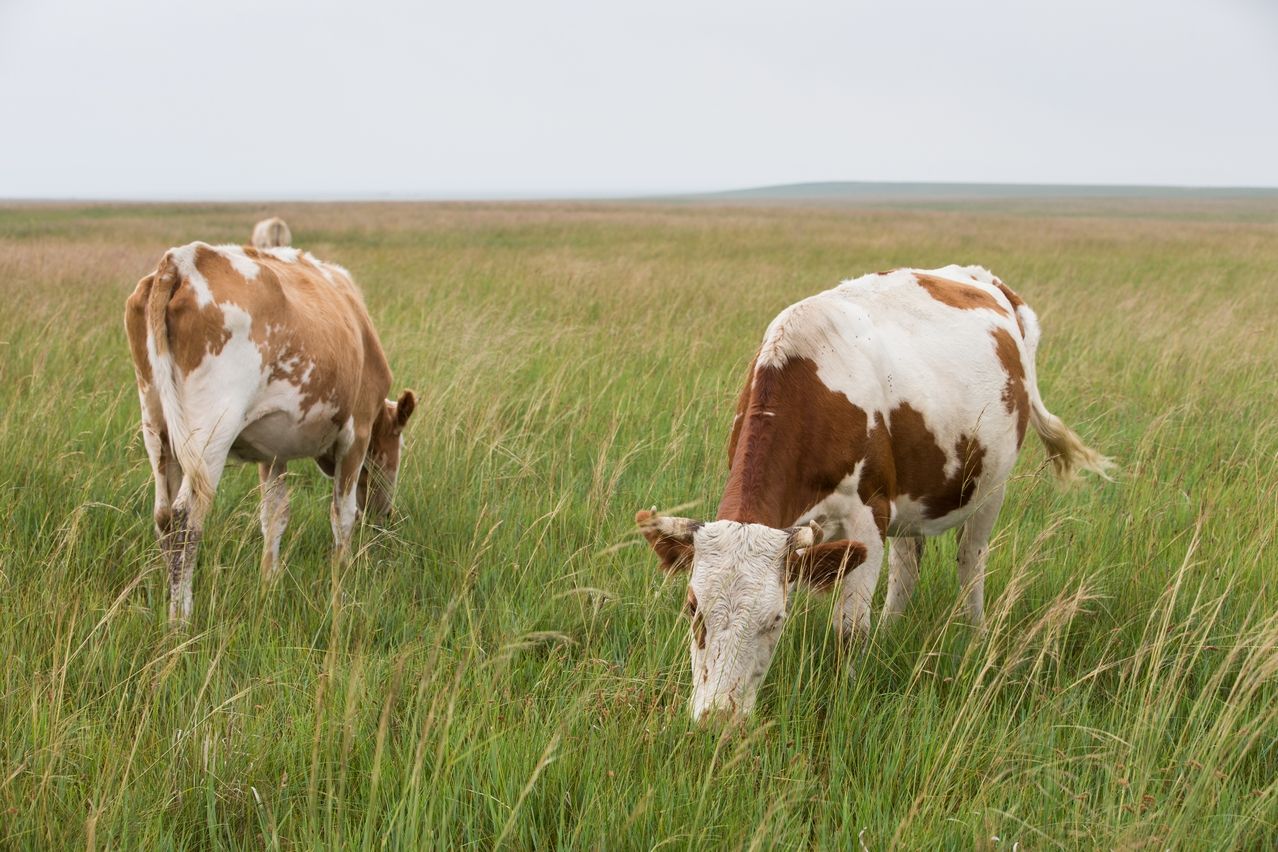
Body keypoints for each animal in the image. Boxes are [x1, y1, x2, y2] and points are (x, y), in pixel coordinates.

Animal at [124, 240, 416, 620]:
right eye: (397, 447)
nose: (386, 514)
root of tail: (183, 260)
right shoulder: (358, 431)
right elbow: (343, 514)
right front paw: (342, 577)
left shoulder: (272, 452)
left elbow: (274, 515)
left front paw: (269, 583)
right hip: (211, 431)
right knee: (185, 518)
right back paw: (180, 617)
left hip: (156, 421)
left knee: (163, 516)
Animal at [636, 264, 1109, 720]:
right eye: (693, 609)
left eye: (775, 619)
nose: (717, 718)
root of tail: (982, 277)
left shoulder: (868, 515)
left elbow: (849, 630)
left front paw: (845, 693)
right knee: (908, 563)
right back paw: (891, 630)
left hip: (991, 486)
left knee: (970, 560)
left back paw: (974, 635)